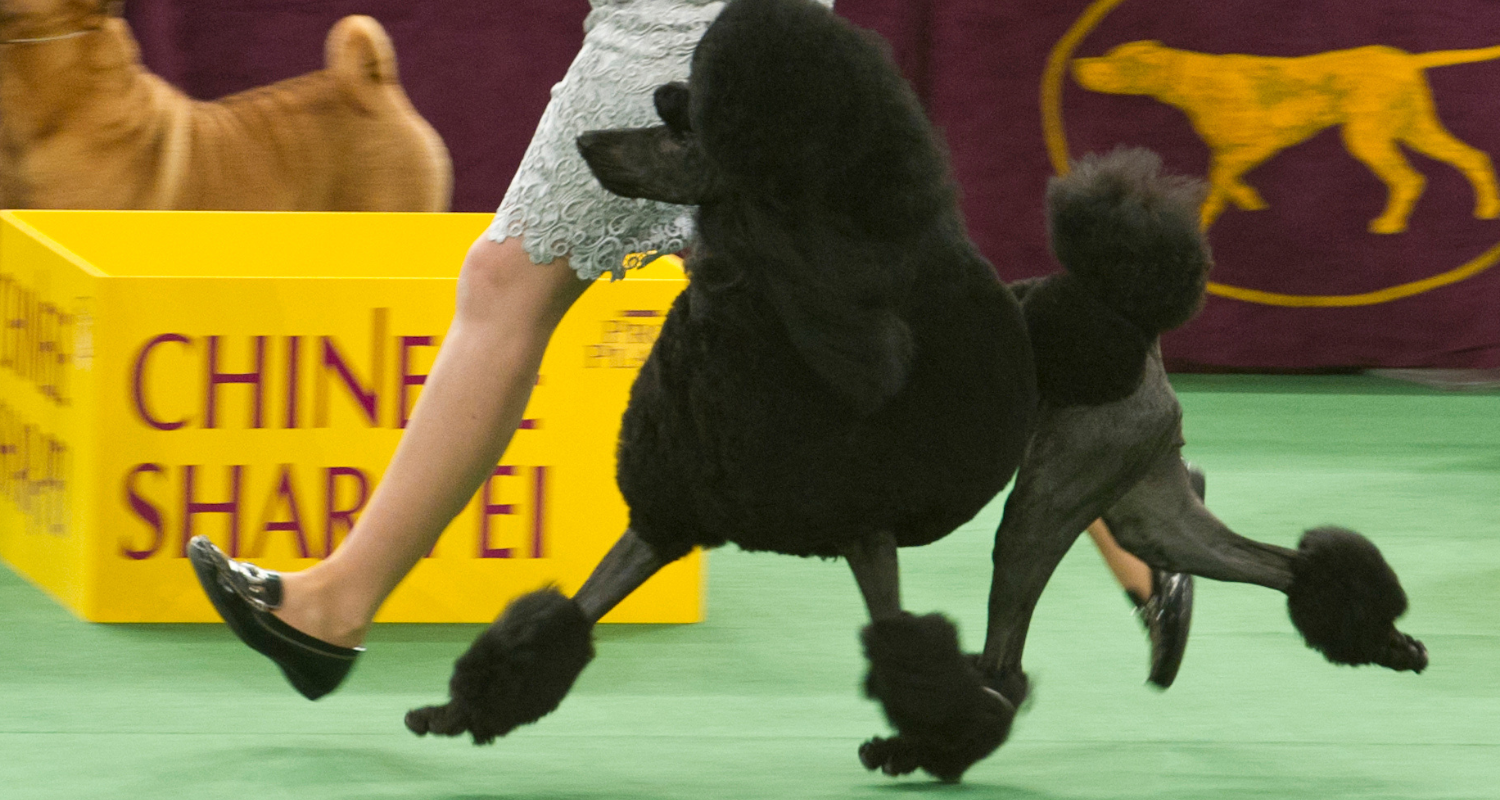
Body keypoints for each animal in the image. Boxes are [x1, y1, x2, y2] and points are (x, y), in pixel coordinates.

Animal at [1080, 39, 1500, 232]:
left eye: (1117, 61)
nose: (1078, 64)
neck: (1192, 81)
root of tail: (1407, 58)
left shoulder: (1258, 144)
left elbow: (1219, 180)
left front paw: (1206, 218)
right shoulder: (1232, 151)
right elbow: (1225, 179)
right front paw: (1249, 203)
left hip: (1369, 136)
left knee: (1409, 178)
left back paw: (1389, 224)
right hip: (1414, 128)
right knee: (1472, 157)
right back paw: (1487, 209)